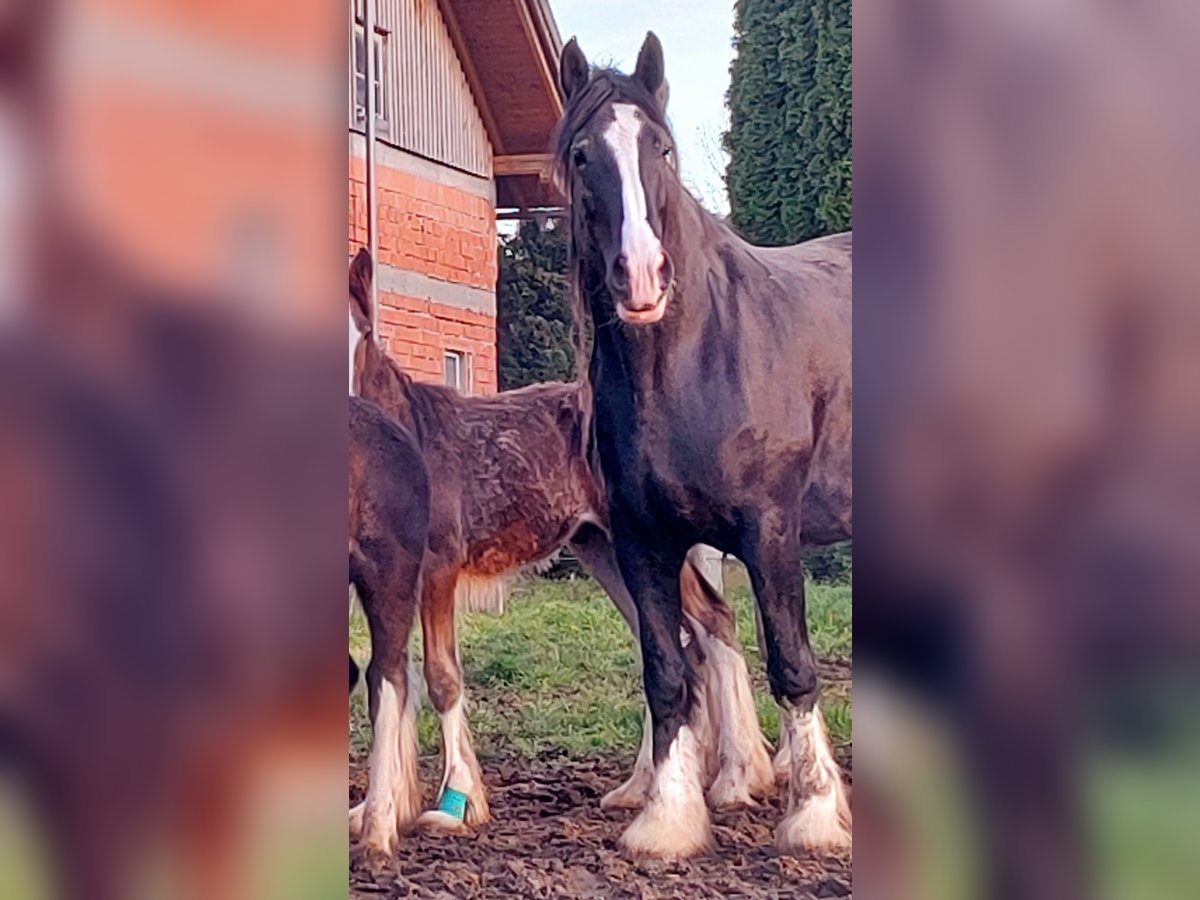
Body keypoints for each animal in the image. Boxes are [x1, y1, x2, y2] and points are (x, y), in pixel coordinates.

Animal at [350, 250, 772, 835]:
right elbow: (393, 679)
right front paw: (381, 806)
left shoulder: (438, 565)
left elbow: (440, 677)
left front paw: (457, 803)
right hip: (603, 548)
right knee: (676, 643)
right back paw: (644, 787)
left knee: (713, 621)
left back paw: (737, 778)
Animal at [554, 31, 854, 859]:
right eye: (582, 155)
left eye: (659, 147)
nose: (641, 276)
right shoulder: (643, 542)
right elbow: (668, 674)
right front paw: (668, 817)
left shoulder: (771, 531)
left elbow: (791, 662)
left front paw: (816, 814)